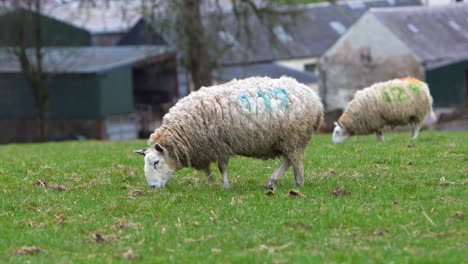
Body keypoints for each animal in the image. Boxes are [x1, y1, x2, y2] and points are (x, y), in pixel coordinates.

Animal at [133, 76, 324, 190]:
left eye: (156, 162)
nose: (152, 187)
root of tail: (314, 98)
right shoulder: (204, 148)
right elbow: (208, 170)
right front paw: (211, 183)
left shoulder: (220, 145)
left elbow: (222, 167)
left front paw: (225, 187)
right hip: (287, 140)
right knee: (288, 160)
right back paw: (273, 182)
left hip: (294, 136)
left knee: (296, 161)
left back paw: (298, 183)